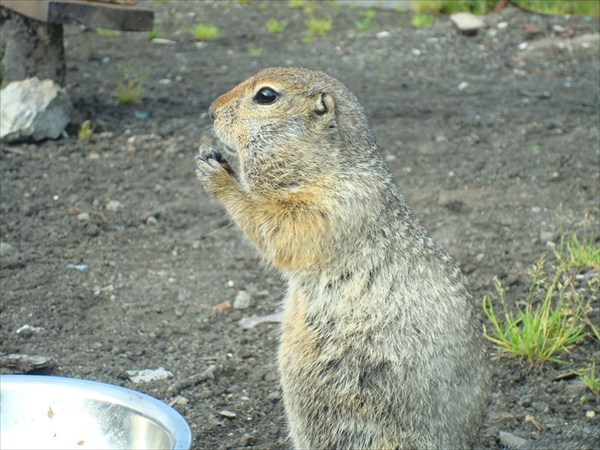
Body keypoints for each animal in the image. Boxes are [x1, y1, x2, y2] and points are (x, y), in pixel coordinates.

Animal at [197, 67, 492, 450]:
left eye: (266, 96)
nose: (211, 111)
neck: (330, 168)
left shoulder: (335, 204)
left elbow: (279, 228)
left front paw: (218, 177)